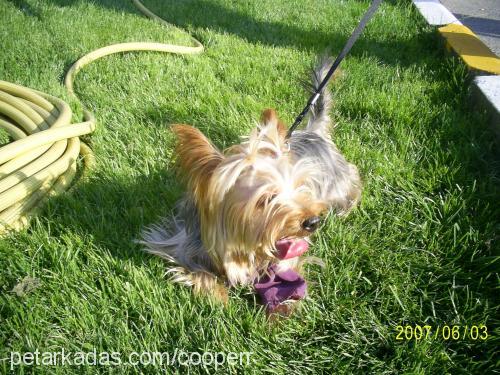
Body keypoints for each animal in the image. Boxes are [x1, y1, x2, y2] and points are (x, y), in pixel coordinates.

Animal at [139, 60, 362, 310]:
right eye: (266, 199)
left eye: (300, 188)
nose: (313, 222)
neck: (240, 243)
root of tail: (313, 132)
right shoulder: (182, 242)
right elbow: (195, 268)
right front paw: (218, 295)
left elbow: (287, 265)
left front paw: (282, 307)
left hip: (338, 182)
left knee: (353, 178)